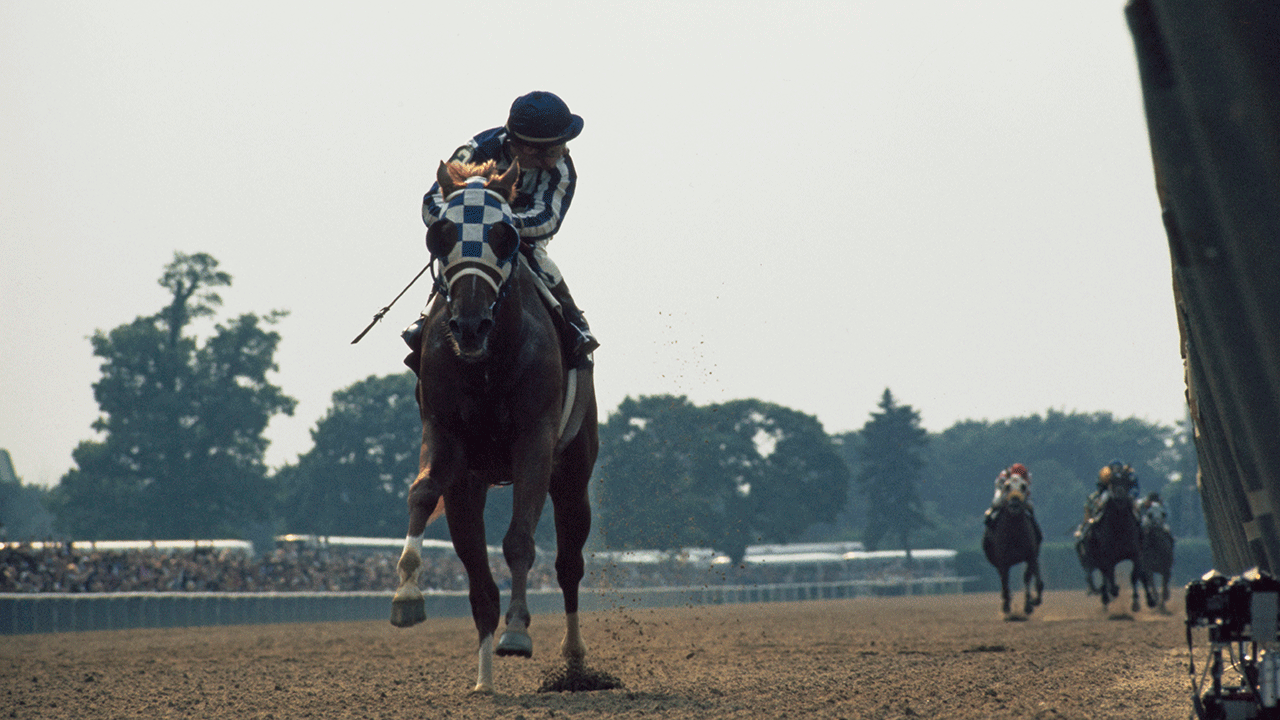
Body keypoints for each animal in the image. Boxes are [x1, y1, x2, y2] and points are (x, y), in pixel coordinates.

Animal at [389, 161, 599, 691]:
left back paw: (574, 660)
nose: (469, 325)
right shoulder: (446, 438)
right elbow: (422, 492)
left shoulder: (535, 440)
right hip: (472, 486)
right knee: (479, 583)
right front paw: (406, 595)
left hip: (574, 472)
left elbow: (520, 539)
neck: (485, 362)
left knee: (569, 565)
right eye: (440, 234)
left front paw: (518, 632)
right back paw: (484, 680)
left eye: (504, 235)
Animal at [983, 471, 1044, 617]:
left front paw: (1029, 604)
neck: (1014, 533)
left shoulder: (1030, 556)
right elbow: (1005, 580)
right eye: (1007, 486)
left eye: (1023, 486)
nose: (1015, 502)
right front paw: (1006, 606)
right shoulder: (1002, 560)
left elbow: (1027, 577)